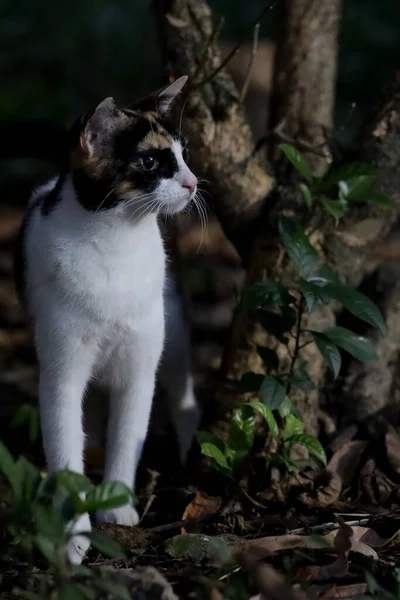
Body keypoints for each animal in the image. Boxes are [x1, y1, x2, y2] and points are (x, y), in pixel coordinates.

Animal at [14, 75, 202, 564]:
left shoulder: (139, 368)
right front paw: (74, 535)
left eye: (183, 154)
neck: (116, 243)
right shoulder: (61, 371)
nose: (192, 183)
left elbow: (128, 436)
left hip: (173, 330)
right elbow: (65, 447)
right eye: (151, 161)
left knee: (181, 389)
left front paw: (117, 504)